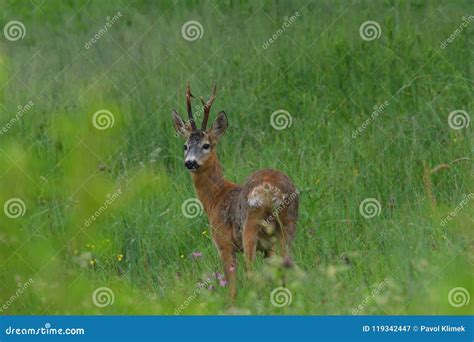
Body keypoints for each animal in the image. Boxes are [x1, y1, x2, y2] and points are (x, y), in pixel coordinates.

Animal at [172, 83, 298, 300]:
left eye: (206, 145)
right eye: (185, 145)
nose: (190, 162)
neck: (215, 196)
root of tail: (270, 190)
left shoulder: (224, 243)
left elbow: (232, 287)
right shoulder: (268, 247)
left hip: (250, 226)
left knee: (250, 272)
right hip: (288, 224)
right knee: (285, 265)